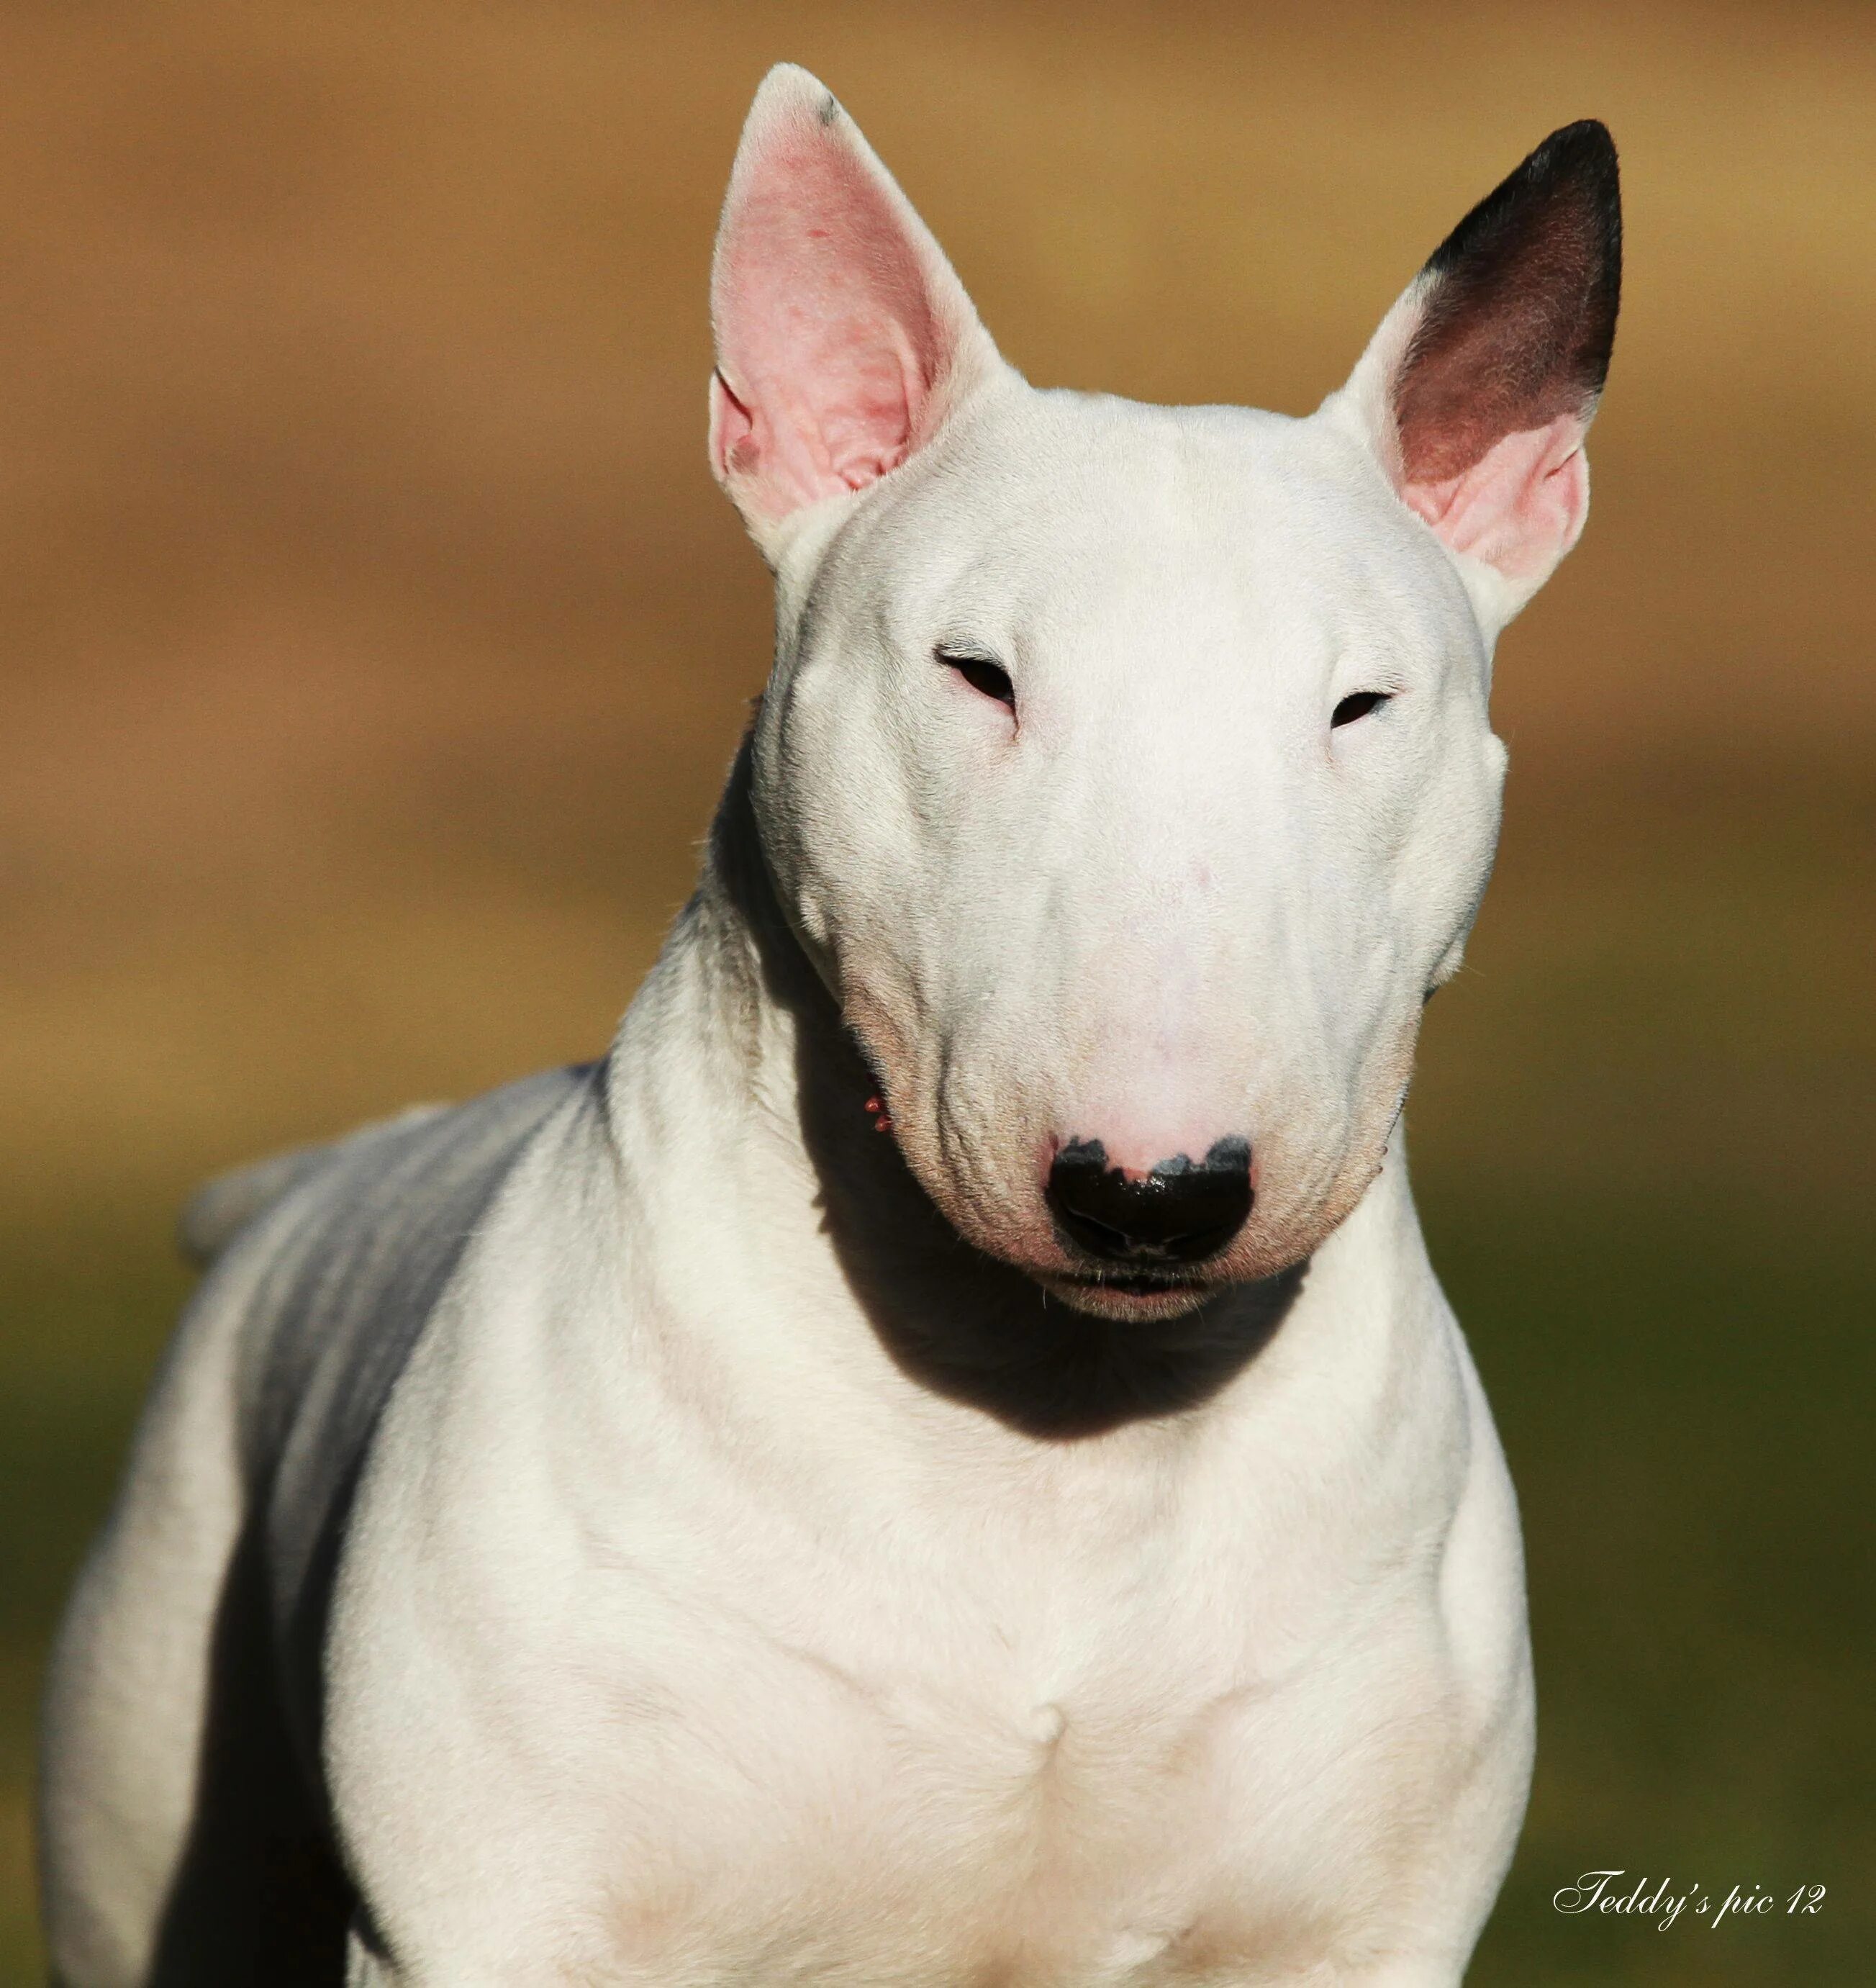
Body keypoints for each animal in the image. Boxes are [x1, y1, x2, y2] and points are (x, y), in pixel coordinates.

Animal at [44, 65, 1621, 1988]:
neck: (1053, 1420)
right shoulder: (489, 1912)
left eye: (1359, 705)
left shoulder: (1355, 1931)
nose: (1152, 1193)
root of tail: (304, 1183)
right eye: (976, 673)